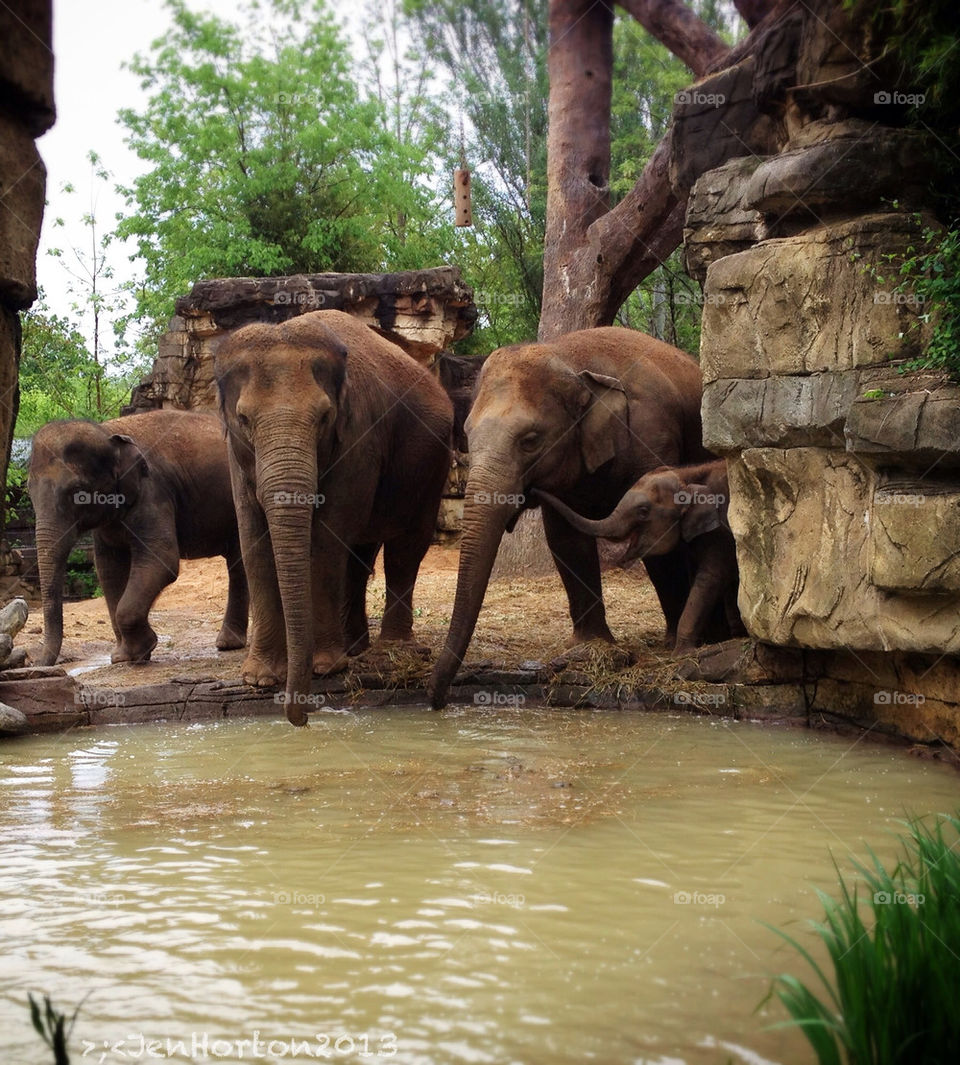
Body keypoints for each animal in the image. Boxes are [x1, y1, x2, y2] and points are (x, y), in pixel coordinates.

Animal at [28, 410, 249, 666]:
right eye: (28, 490)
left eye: (77, 491)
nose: (36, 664)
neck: (108, 432)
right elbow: (109, 569)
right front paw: (124, 656)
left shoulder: (153, 491)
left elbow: (161, 560)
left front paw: (141, 650)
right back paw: (228, 644)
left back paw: (228, 643)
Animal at [214, 308, 453, 726]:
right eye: (243, 419)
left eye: (324, 417)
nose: (303, 716)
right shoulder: (237, 457)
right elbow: (253, 539)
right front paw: (260, 678)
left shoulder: (359, 436)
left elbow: (327, 538)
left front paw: (326, 668)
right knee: (360, 553)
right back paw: (355, 646)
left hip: (432, 465)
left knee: (405, 549)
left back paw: (388, 650)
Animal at [429, 326, 714, 708]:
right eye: (468, 436)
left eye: (530, 440)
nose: (438, 702)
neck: (570, 359)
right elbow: (566, 541)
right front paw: (589, 648)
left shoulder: (653, 436)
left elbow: (658, 536)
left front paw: (670, 647)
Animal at [534, 459, 745, 654]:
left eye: (643, 512)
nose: (533, 489)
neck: (687, 474)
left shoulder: (722, 531)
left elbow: (710, 578)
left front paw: (683, 653)